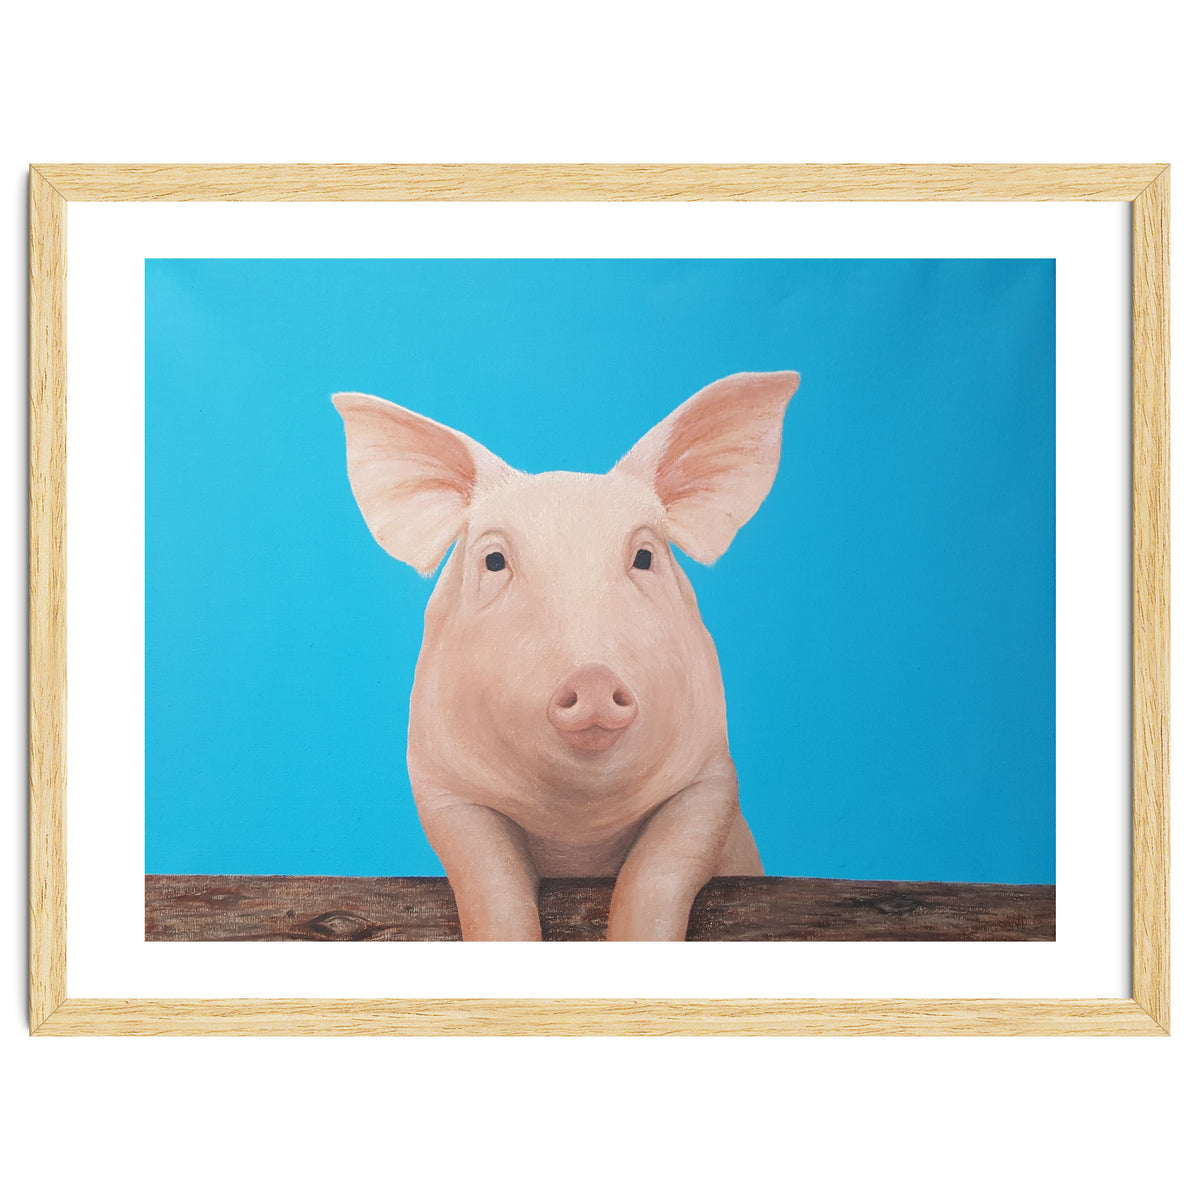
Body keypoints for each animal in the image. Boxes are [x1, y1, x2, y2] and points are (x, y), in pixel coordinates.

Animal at [333, 370, 799, 941]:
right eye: (494, 560)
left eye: (644, 556)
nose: (593, 677)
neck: (578, 829)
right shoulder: (442, 788)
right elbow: (490, 882)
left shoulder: (711, 778)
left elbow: (658, 873)